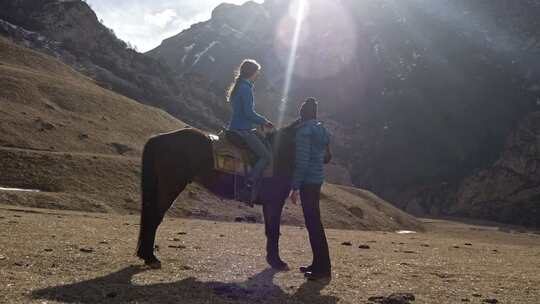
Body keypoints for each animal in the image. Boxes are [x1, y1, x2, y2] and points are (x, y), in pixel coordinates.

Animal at [134, 126, 296, 268]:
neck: (282, 153)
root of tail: (158, 138)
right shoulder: (275, 202)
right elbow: (274, 231)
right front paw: (277, 262)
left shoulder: (271, 203)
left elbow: (270, 231)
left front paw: (273, 260)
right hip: (170, 186)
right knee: (155, 217)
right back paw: (151, 257)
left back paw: (146, 255)